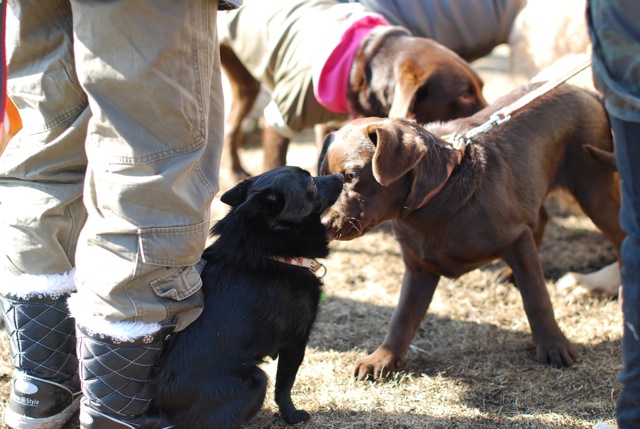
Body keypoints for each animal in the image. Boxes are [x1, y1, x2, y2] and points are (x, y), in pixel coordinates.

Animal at [154, 166, 344, 426]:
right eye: (311, 185)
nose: (342, 176)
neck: (273, 254)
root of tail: (163, 411)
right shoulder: (296, 341)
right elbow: (285, 386)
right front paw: (292, 415)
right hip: (256, 380)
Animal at [220, 0, 484, 179]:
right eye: (464, 94)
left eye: (480, 87)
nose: (489, 110)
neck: (363, 62)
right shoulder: (280, 118)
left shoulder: (329, 124)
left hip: (246, 87)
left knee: (230, 125)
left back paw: (235, 169)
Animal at [318, 83, 624, 378]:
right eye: (322, 178)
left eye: (351, 176)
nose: (322, 224)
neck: (437, 198)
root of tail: (585, 90)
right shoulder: (419, 269)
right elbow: (403, 316)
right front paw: (383, 358)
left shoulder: (516, 239)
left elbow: (536, 297)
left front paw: (554, 346)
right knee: (542, 218)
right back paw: (509, 273)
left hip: (594, 189)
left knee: (620, 237)